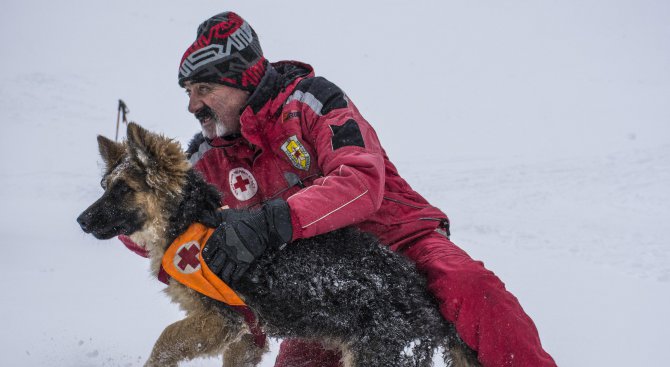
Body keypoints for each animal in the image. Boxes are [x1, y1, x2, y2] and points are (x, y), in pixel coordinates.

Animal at [76, 124, 480, 367]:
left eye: (123, 189)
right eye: (105, 186)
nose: (81, 220)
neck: (188, 221)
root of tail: (425, 298)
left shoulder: (221, 320)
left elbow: (165, 339)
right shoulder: (246, 337)